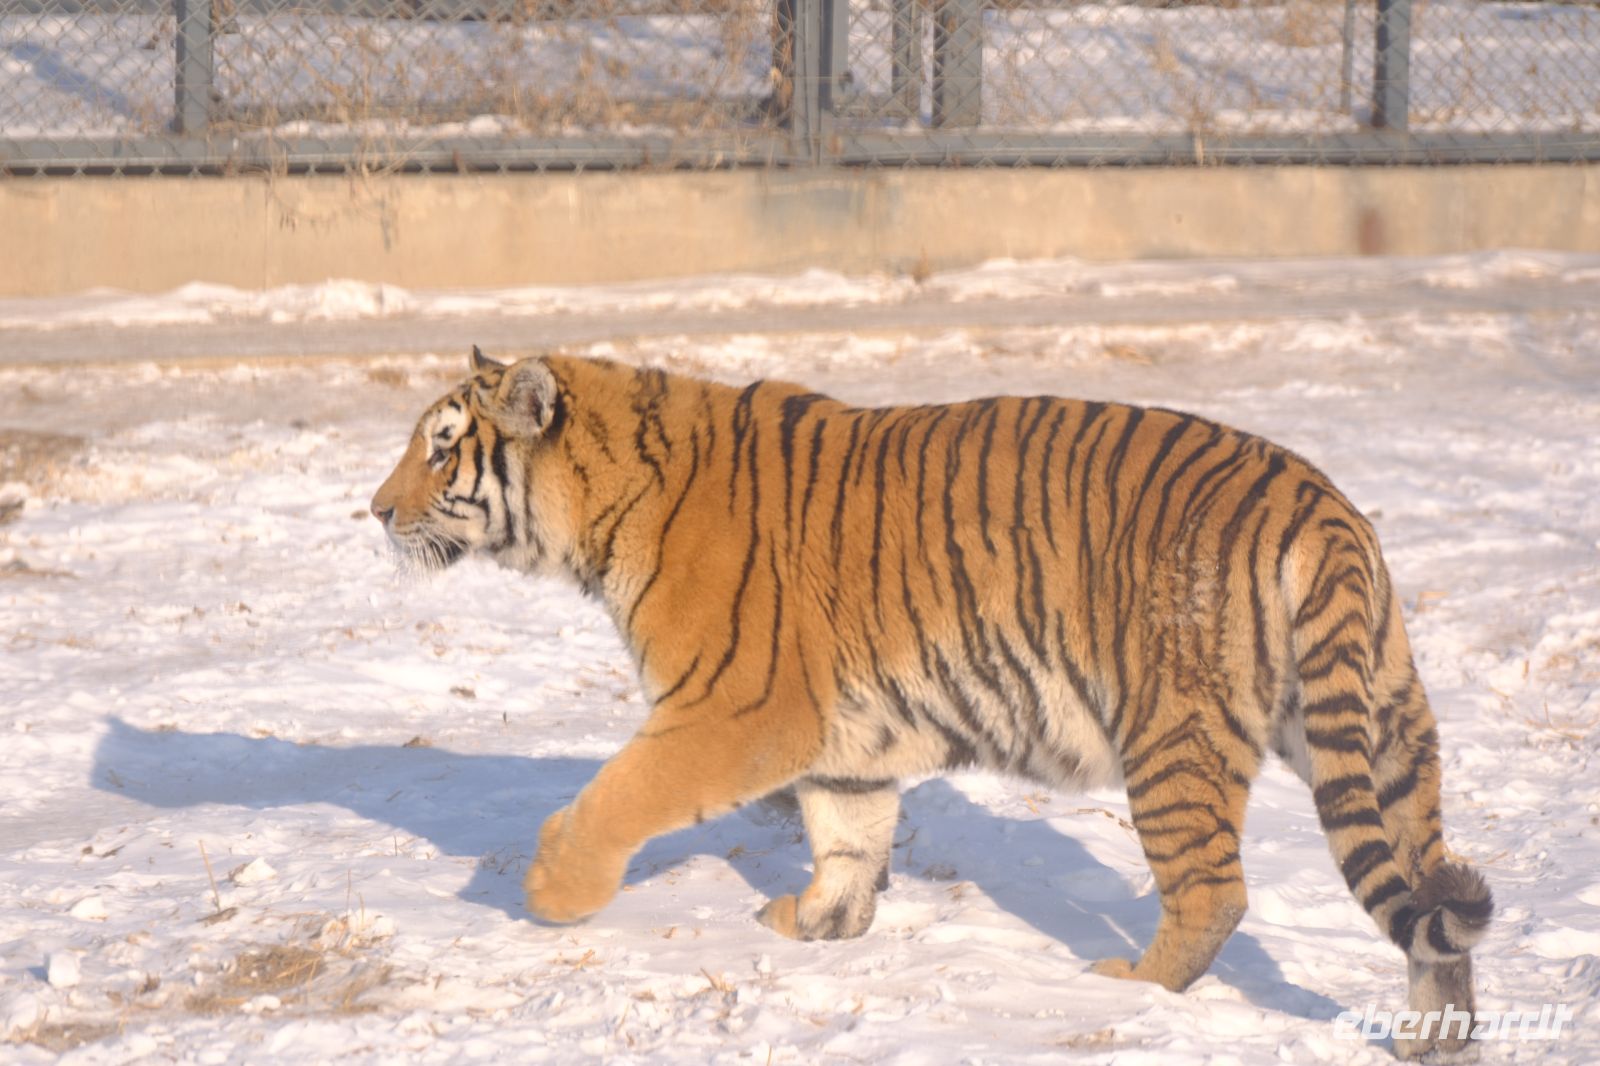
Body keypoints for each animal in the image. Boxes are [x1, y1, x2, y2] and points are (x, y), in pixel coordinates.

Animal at [371, 348, 1492, 1058]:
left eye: (441, 448)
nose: (374, 511)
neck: (602, 507)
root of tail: (1325, 506)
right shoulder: (842, 735)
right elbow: (847, 833)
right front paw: (820, 922)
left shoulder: (733, 708)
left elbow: (621, 793)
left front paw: (549, 889)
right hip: (1384, 732)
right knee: (1430, 900)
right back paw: (1434, 1041)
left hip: (1170, 736)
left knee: (1215, 891)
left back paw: (1124, 990)